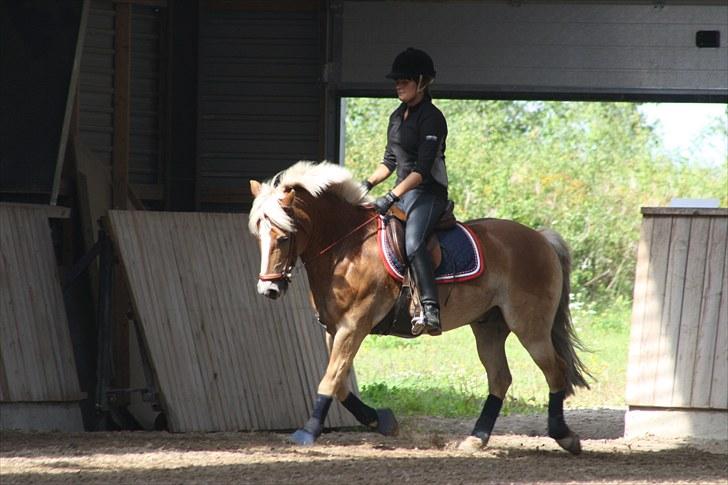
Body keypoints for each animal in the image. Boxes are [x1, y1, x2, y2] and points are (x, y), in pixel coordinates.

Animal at [250, 161, 592, 452]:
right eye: (259, 237)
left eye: (284, 237)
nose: (269, 289)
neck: (346, 246)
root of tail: (542, 239)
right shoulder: (334, 329)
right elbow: (342, 385)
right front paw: (381, 420)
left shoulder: (354, 325)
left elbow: (331, 378)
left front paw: (307, 431)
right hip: (489, 327)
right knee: (500, 378)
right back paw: (476, 438)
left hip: (530, 327)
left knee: (555, 370)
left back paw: (564, 436)